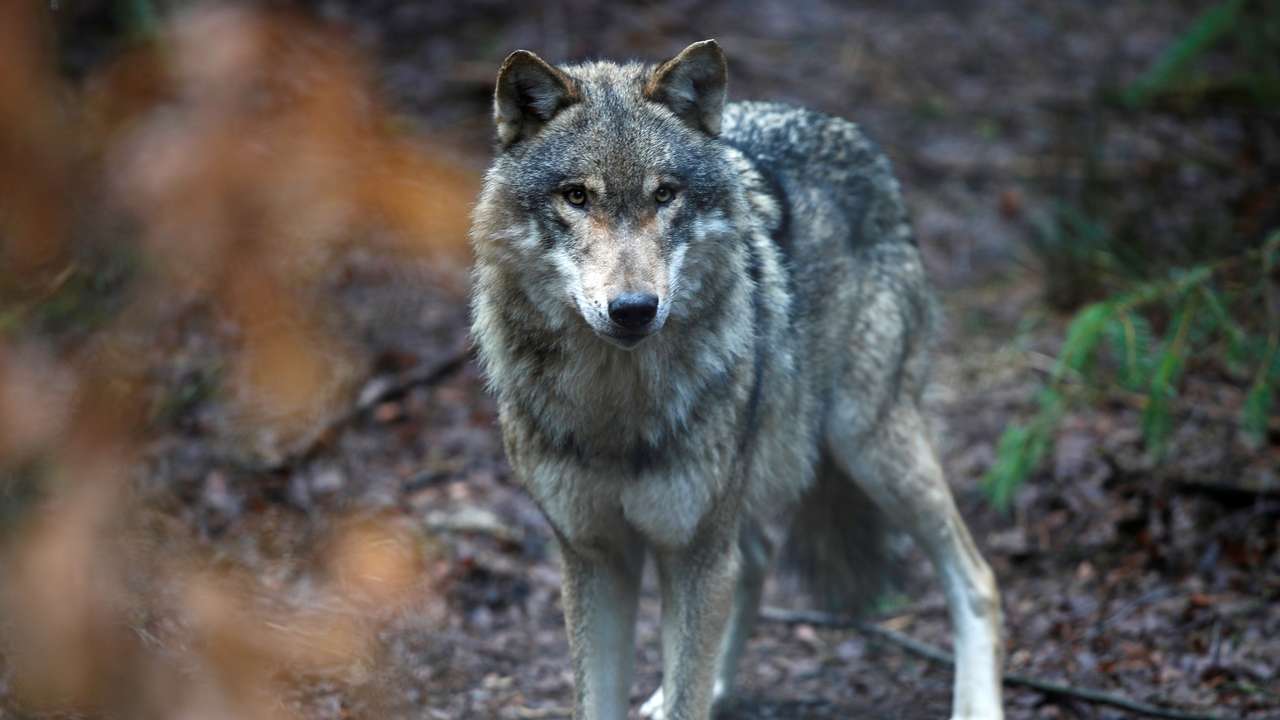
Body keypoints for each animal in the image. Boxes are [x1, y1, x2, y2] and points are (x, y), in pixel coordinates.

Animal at [469, 40, 1004, 720]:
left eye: (664, 195)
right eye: (577, 197)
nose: (634, 309)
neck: (616, 406)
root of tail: (853, 135)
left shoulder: (693, 549)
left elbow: (687, 693)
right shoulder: (594, 555)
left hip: (869, 447)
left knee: (976, 578)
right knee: (757, 560)